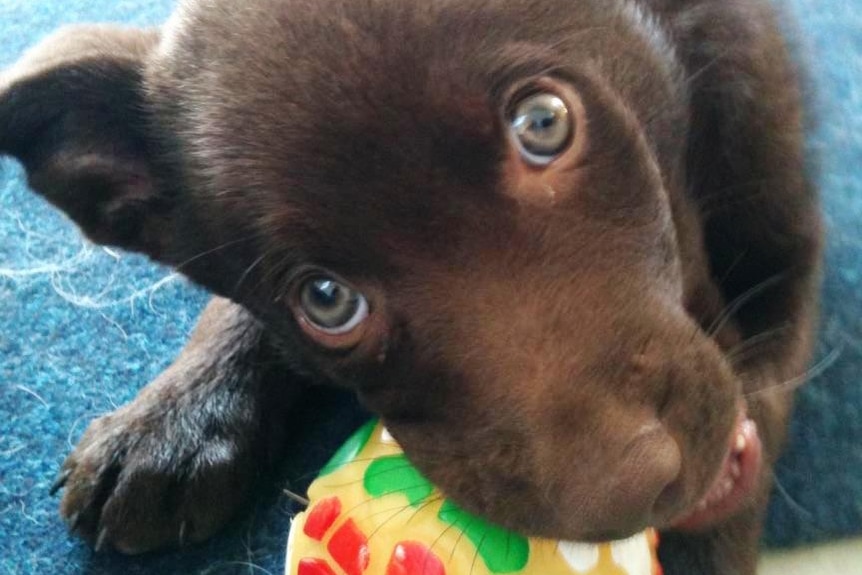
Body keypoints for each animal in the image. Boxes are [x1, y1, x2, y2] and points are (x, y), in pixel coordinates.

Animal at [0, 1, 824, 575]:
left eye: (544, 122)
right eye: (326, 299)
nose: (631, 488)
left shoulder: (788, 247)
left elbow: (762, 406)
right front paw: (173, 418)